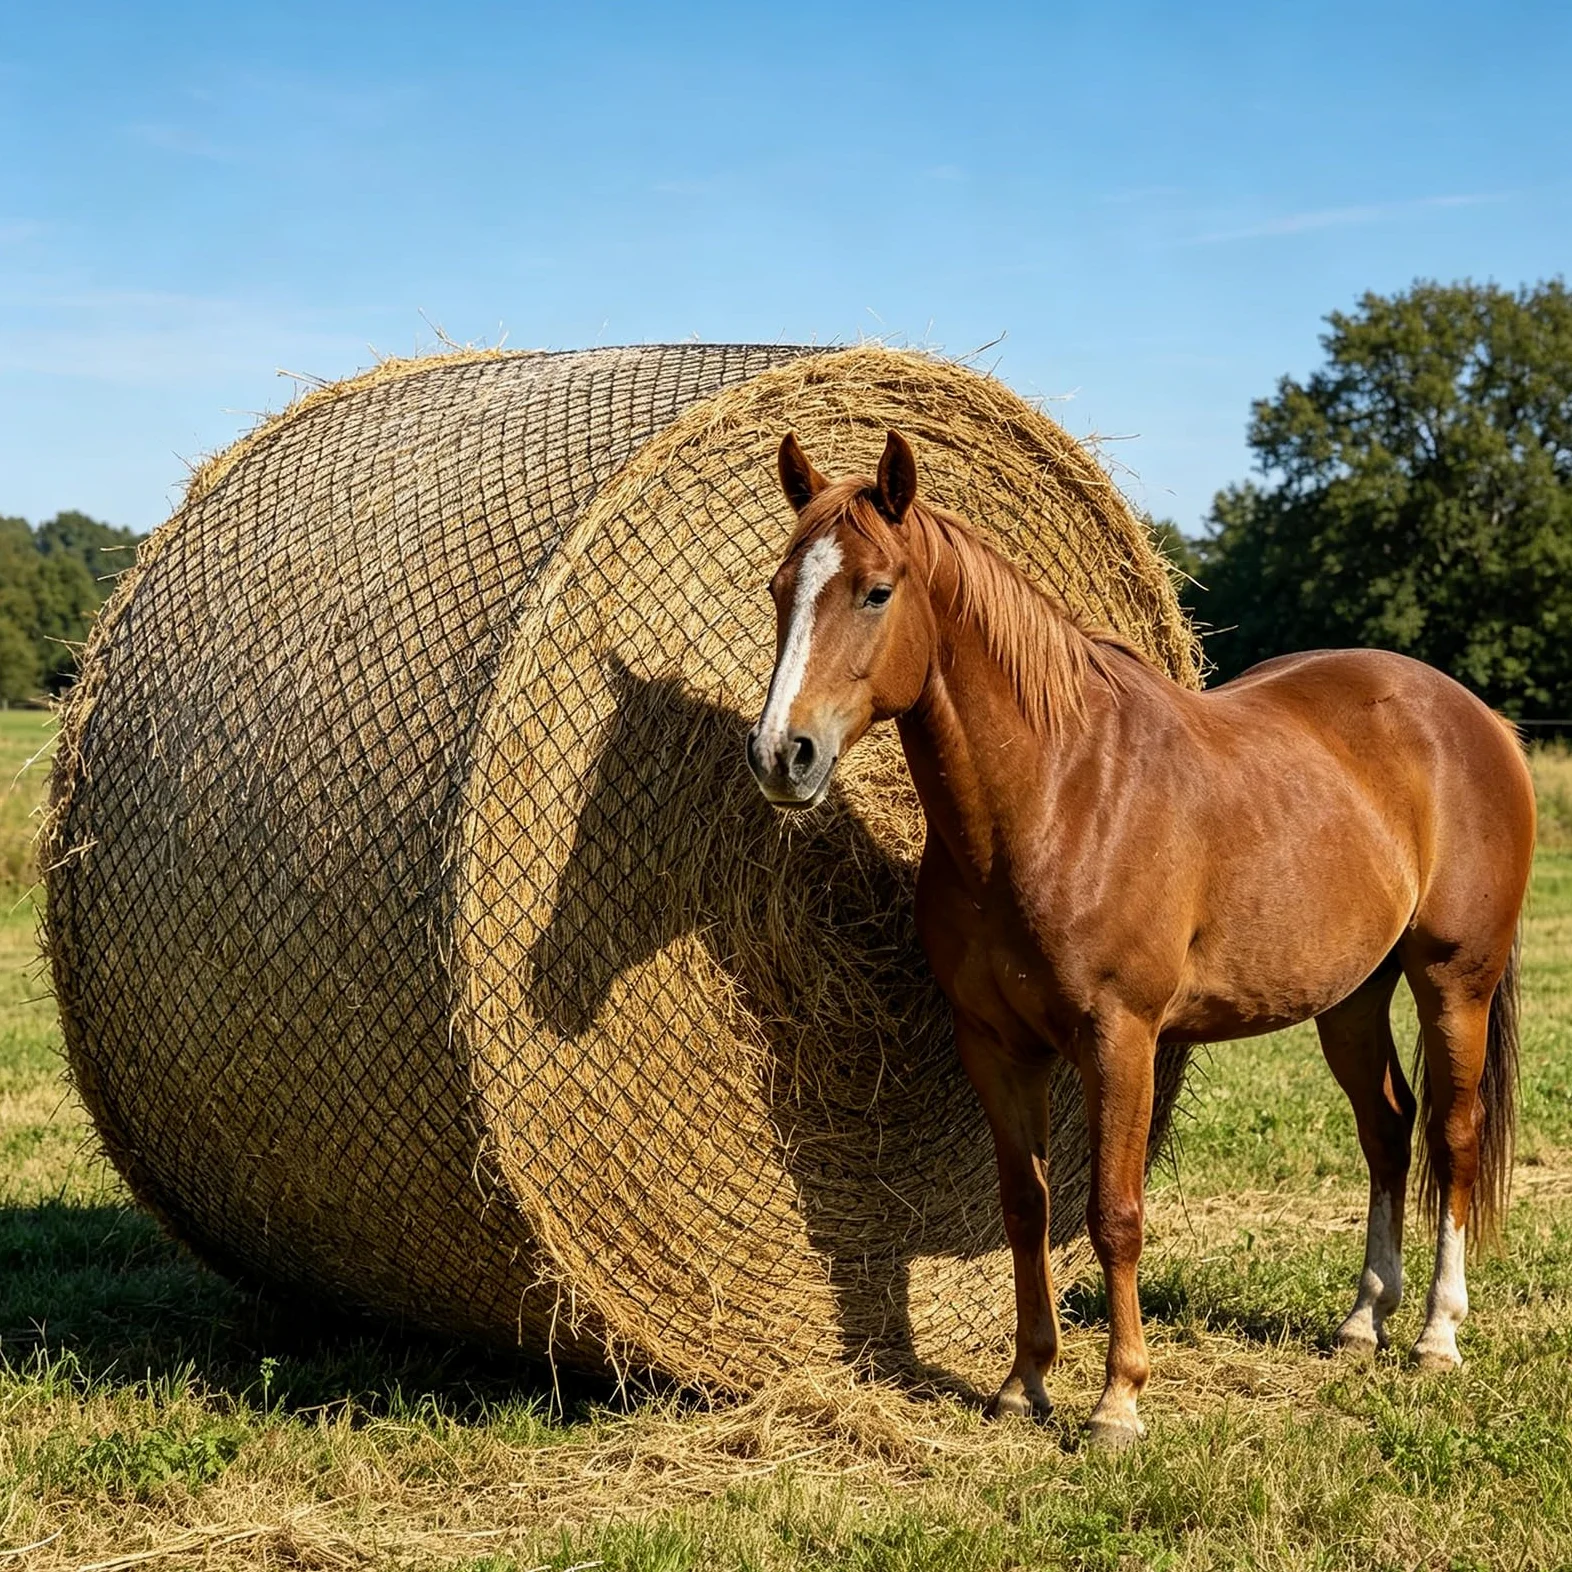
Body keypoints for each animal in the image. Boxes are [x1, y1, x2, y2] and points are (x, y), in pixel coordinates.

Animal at [746, 429, 1535, 1449]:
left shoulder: (1121, 1038)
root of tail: (1477, 719)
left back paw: (1438, 1333)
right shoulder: (996, 1046)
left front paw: (1118, 1400)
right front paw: (1023, 1383)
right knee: (1389, 1130)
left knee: (1453, 1134)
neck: (1057, 794)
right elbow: (1026, 1208)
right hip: (1352, 998)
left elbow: (1114, 1214)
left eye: (876, 590)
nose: (781, 754)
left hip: (1452, 982)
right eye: (779, 588)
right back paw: (1364, 1321)